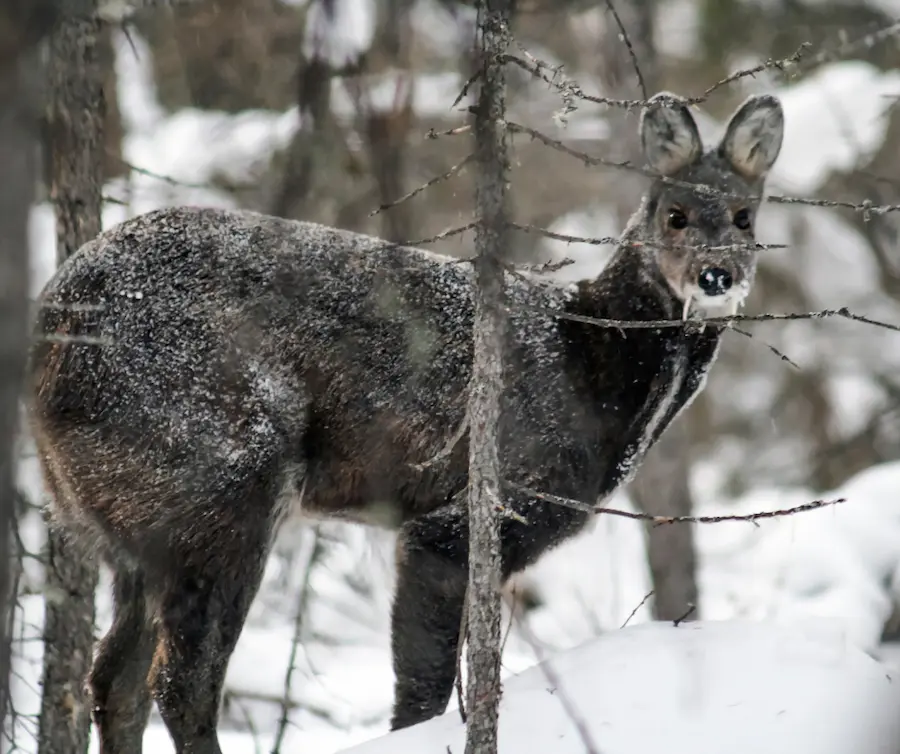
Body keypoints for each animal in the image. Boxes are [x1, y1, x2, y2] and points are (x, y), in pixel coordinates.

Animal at [28, 91, 784, 748]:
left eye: (745, 216)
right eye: (675, 213)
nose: (716, 276)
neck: (593, 370)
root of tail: (51, 331)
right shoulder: (472, 512)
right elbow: (421, 692)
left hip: (133, 521)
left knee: (114, 679)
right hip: (218, 475)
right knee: (180, 682)